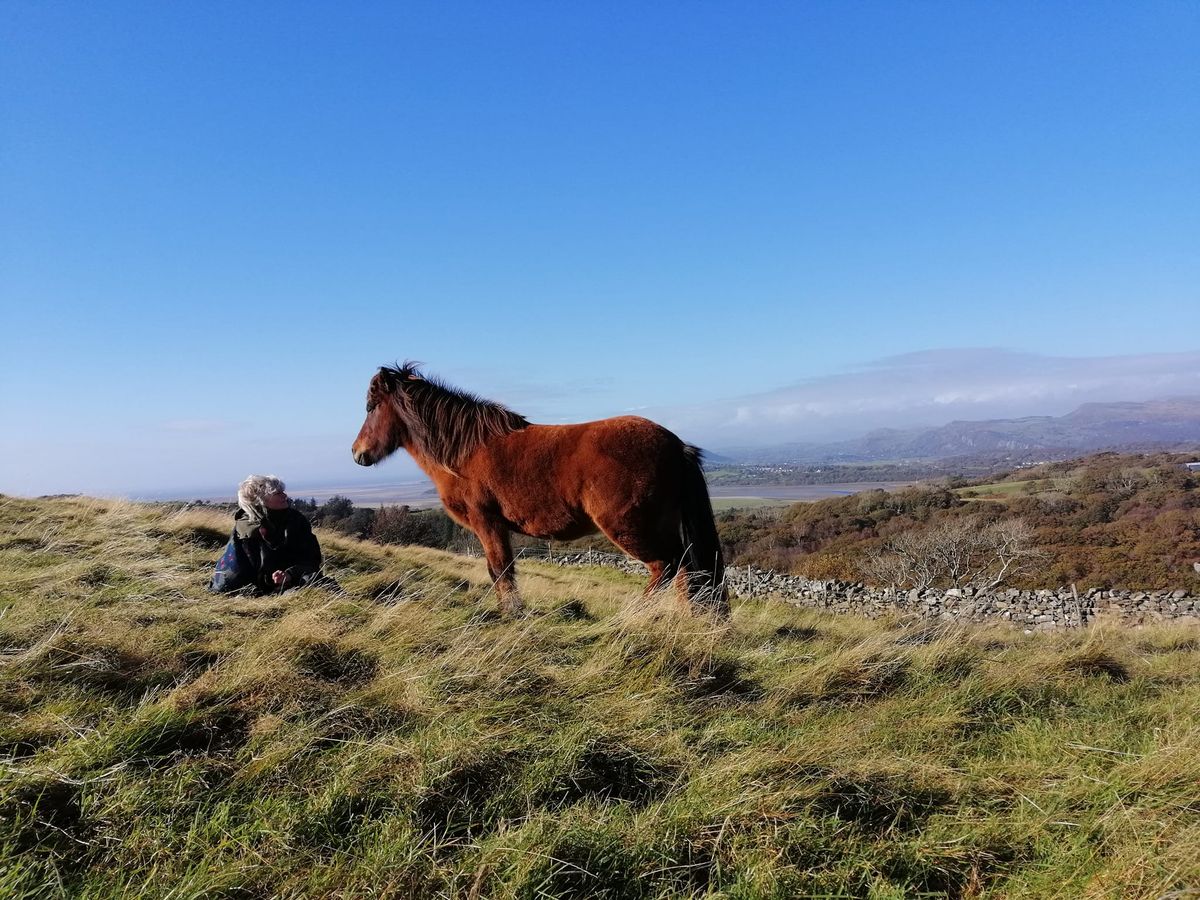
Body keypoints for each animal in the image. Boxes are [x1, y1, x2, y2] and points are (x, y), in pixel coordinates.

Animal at [348, 362, 720, 619]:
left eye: (370, 407)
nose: (357, 453)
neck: (466, 451)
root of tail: (676, 445)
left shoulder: (487, 523)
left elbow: (500, 569)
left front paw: (513, 613)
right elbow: (500, 569)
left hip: (630, 528)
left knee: (664, 566)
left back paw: (629, 618)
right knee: (686, 568)